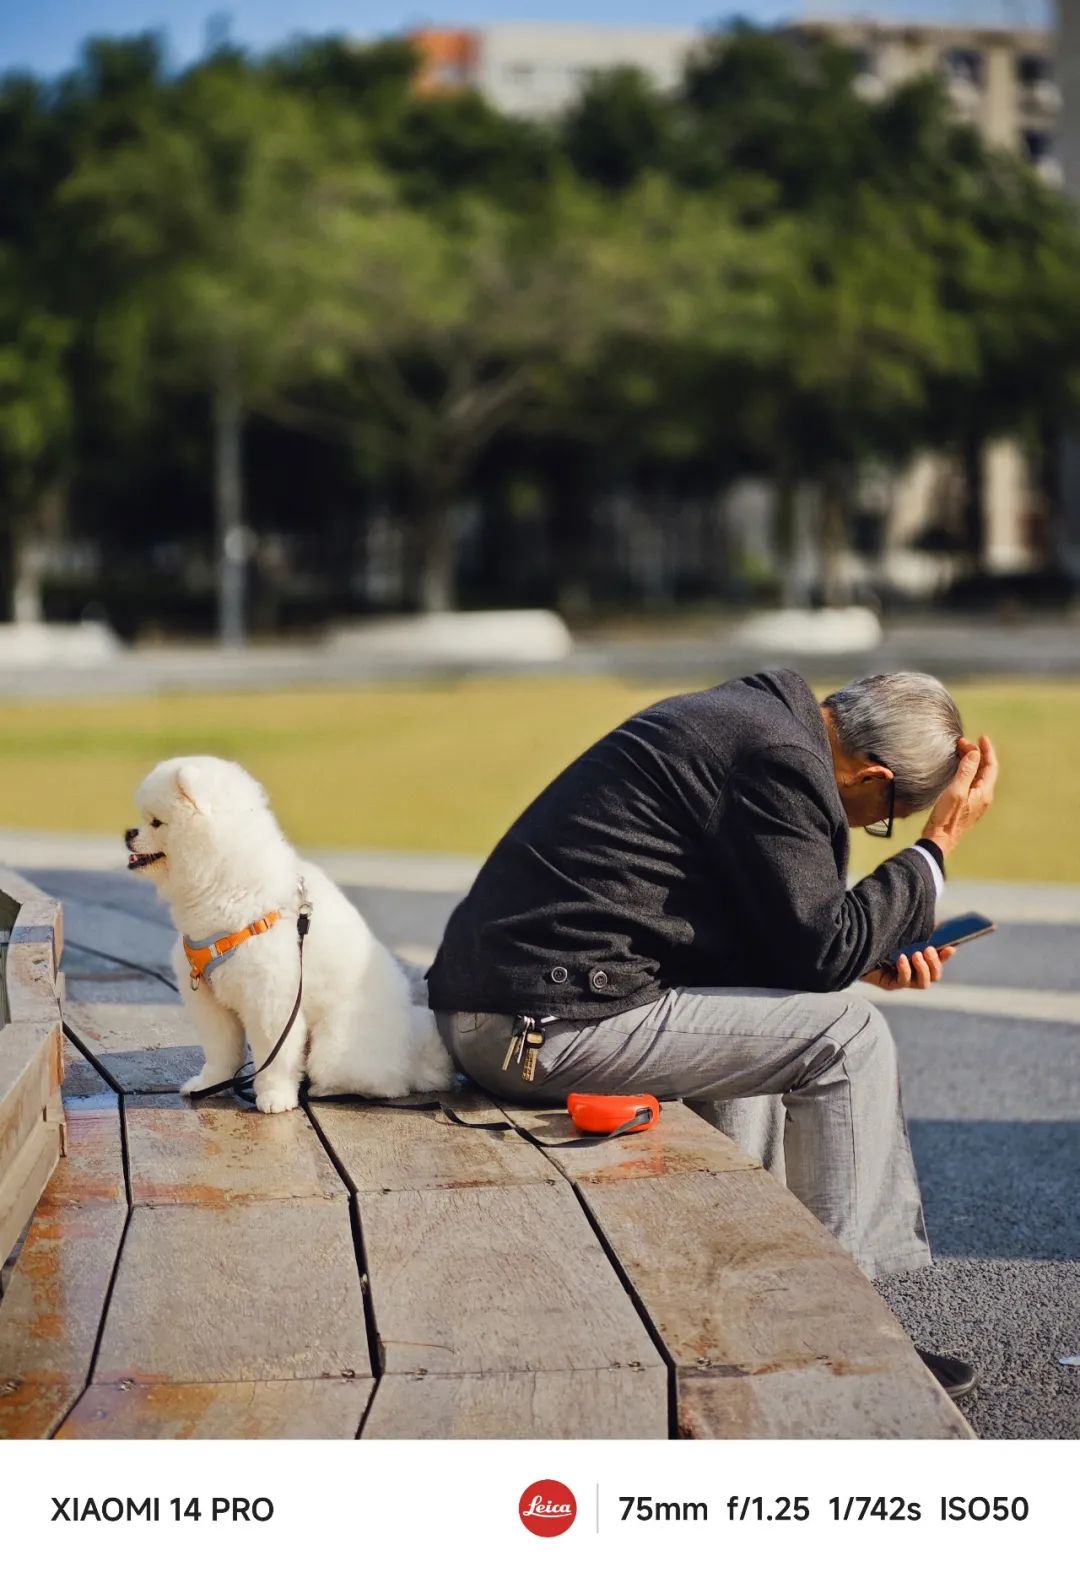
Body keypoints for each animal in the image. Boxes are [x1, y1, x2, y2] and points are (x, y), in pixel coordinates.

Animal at [127, 757, 454, 1117]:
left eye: (156, 822)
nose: (129, 833)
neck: (227, 886)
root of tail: (410, 1051)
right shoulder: (210, 1003)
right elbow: (221, 1051)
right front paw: (210, 1084)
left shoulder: (272, 1001)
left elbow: (276, 1058)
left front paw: (274, 1097)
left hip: (335, 1046)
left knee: (385, 1085)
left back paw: (325, 1088)